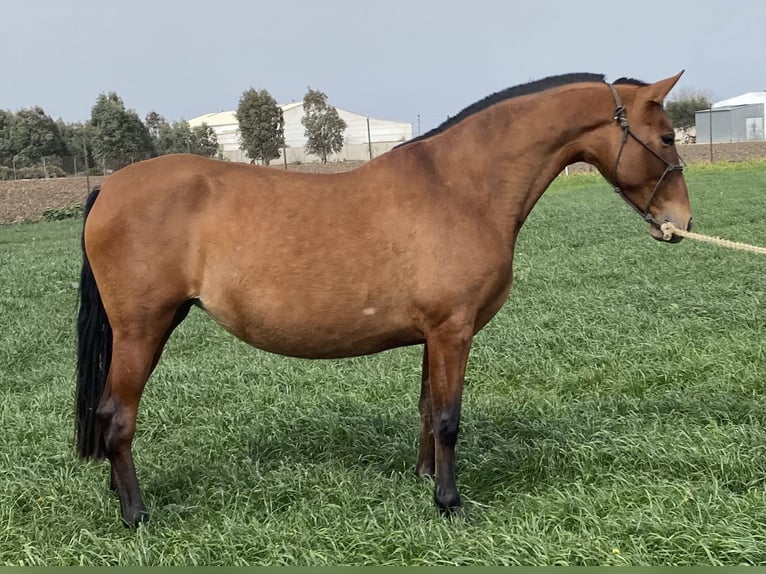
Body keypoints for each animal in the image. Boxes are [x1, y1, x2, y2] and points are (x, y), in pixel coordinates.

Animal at [76, 71, 696, 528]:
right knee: (117, 416)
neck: (459, 188)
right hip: (143, 328)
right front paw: (450, 504)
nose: (682, 223)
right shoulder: (453, 330)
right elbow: (448, 417)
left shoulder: (434, 334)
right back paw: (135, 513)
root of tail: (110, 186)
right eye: (667, 137)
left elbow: (426, 409)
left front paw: (425, 480)